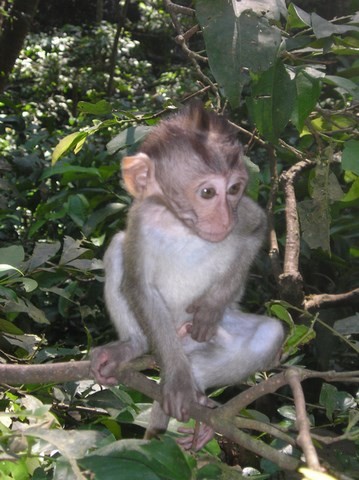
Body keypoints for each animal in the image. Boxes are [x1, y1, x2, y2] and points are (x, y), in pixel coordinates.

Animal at [91, 103, 286, 448]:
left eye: (234, 189)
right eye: (207, 192)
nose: (224, 218)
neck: (180, 224)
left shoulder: (243, 215)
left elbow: (257, 227)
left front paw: (211, 306)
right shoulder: (140, 218)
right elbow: (138, 286)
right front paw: (178, 382)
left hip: (210, 332)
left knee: (268, 334)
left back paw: (203, 401)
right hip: (166, 336)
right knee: (115, 248)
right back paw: (134, 348)